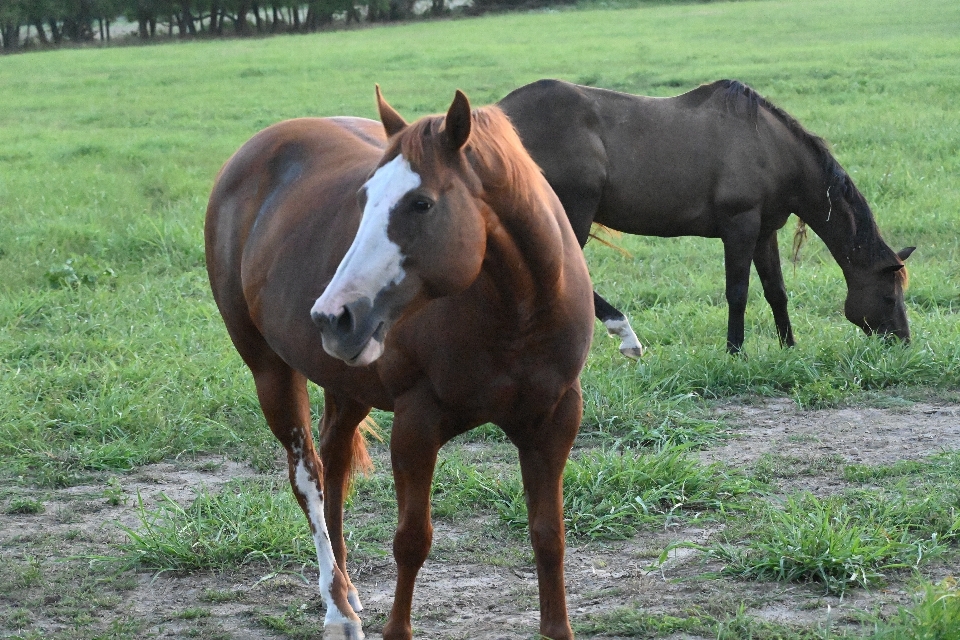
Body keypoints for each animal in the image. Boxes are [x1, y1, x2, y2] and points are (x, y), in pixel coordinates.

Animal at [204, 86, 592, 640]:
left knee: (335, 464)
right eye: (363, 201)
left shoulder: (554, 421)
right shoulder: (417, 423)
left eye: (421, 203)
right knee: (309, 478)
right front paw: (396, 627)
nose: (332, 316)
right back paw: (337, 609)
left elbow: (549, 536)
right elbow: (412, 539)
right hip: (270, 373)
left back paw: (346, 588)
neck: (520, 311)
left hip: (347, 385)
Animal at [498, 79, 912, 356]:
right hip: (571, 217)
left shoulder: (764, 233)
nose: (903, 343)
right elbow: (738, 292)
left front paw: (789, 347)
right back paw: (624, 335)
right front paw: (734, 351)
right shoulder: (740, 227)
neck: (772, 148)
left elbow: (776, 292)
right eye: (889, 297)